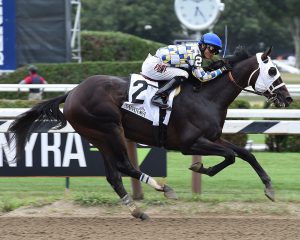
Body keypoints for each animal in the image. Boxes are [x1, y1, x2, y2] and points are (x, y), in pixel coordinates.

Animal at [9, 46, 292, 219]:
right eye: (272, 71)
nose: (288, 98)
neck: (206, 96)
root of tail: (71, 93)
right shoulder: (190, 143)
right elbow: (231, 156)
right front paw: (201, 168)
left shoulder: (213, 137)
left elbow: (245, 154)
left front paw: (269, 188)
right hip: (110, 130)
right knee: (124, 166)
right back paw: (162, 188)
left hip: (97, 136)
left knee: (114, 175)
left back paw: (137, 210)